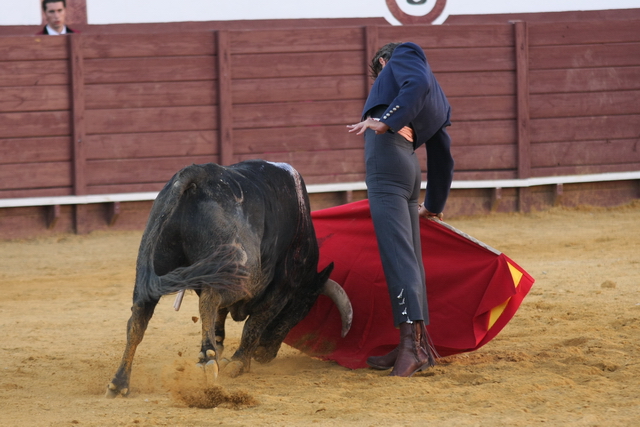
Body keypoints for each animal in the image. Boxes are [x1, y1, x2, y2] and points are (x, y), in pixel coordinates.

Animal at [107, 160, 352, 398]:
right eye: (300, 311)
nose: (266, 355)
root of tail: (200, 173)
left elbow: (220, 317)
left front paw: (220, 346)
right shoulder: (281, 289)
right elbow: (254, 323)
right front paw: (238, 362)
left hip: (153, 264)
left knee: (138, 318)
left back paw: (120, 382)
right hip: (243, 274)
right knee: (209, 300)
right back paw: (208, 359)